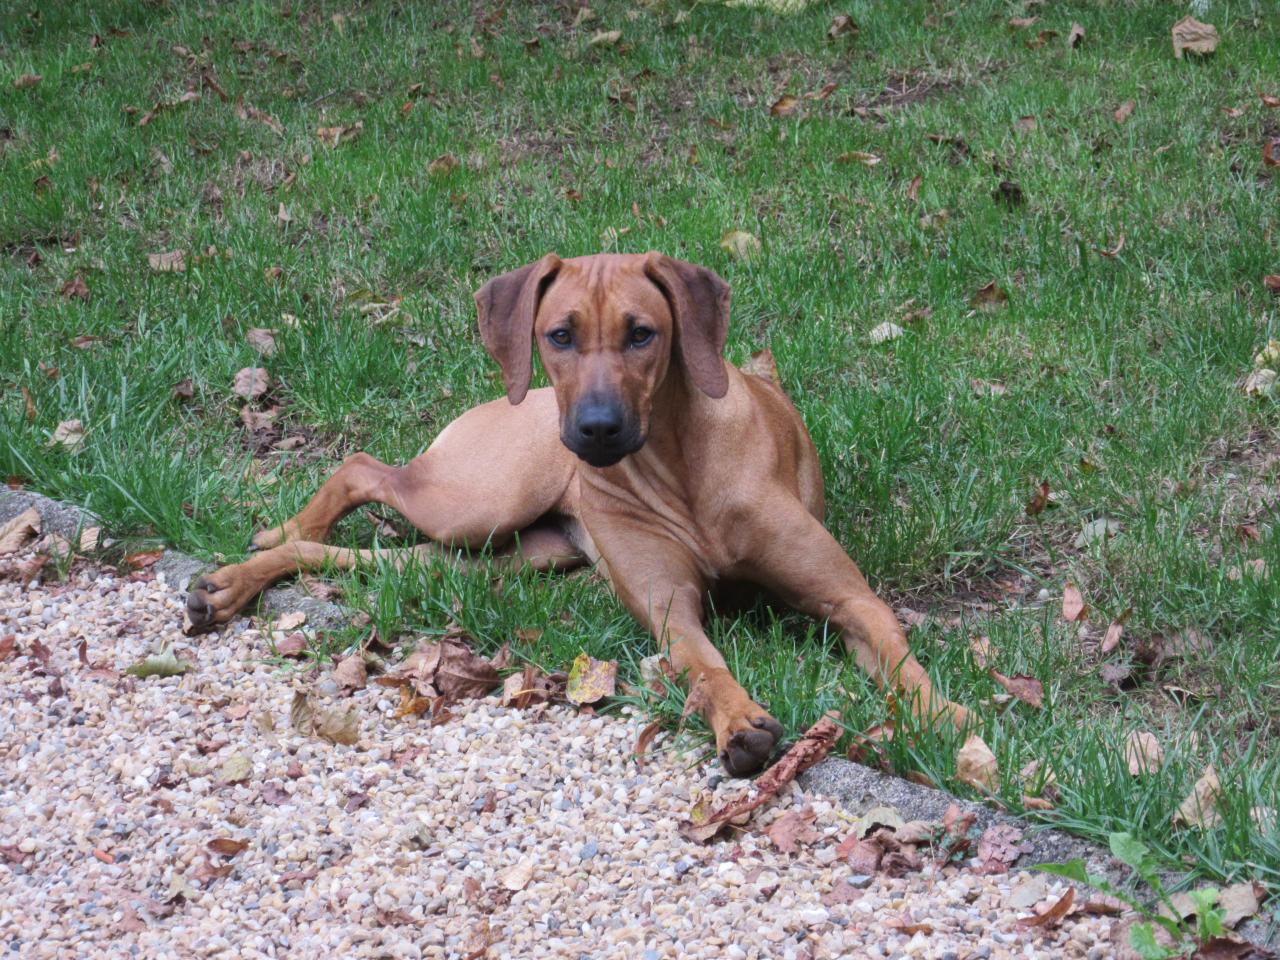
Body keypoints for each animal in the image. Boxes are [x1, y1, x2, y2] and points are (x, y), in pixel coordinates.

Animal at [185, 253, 967, 773]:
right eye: (559, 335)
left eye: (642, 333)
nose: (595, 429)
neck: (679, 466)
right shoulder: (670, 611)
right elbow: (703, 664)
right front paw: (737, 717)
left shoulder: (848, 596)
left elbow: (898, 655)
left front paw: (948, 721)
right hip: (478, 499)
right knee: (361, 466)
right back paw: (266, 548)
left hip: (492, 559)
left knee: (369, 552)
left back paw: (235, 578)